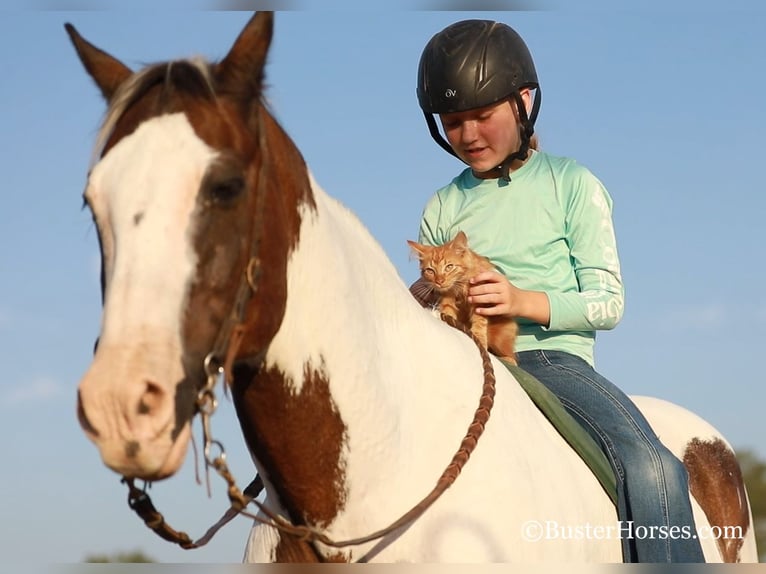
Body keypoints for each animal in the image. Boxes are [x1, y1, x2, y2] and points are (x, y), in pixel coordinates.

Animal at [408, 230, 516, 364]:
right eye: (430, 270)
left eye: (449, 267)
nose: (439, 281)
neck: (460, 284)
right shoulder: (447, 300)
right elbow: (448, 314)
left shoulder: (480, 297)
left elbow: (479, 322)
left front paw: (479, 338)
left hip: (501, 335)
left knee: (512, 356)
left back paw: (508, 358)